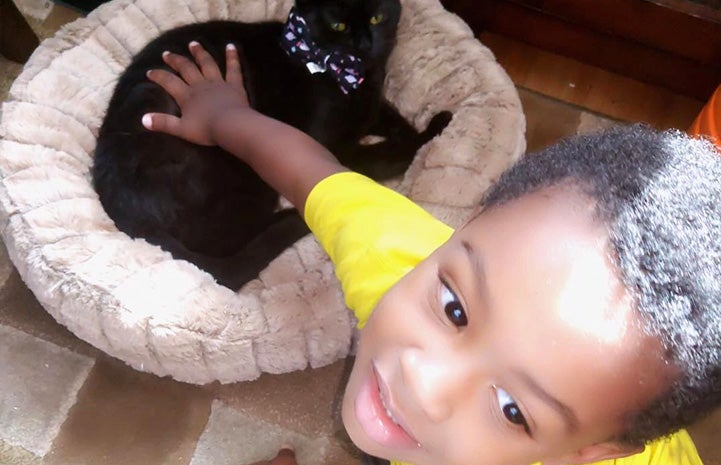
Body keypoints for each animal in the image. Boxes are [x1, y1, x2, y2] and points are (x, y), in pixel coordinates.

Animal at [92, 0, 448, 288]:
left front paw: (416, 129)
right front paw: (436, 130)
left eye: (377, 18)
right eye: (339, 25)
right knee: (227, 242)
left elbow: (392, 119)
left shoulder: (371, 108)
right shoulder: (334, 148)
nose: (364, 44)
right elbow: (388, 154)